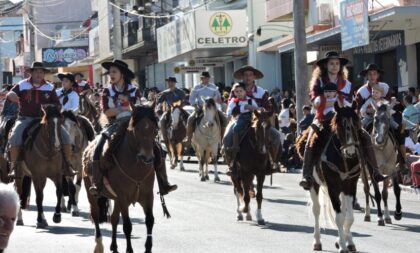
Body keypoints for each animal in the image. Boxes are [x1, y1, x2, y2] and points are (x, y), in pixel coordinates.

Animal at [83, 103, 162, 253]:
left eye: (155, 129)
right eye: (136, 129)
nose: (147, 157)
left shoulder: (147, 195)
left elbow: (150, 220)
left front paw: (148, 248)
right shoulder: (123, 197)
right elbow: (127, 225)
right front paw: (129, 250)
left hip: (116, 199)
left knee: (114, 218)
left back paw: (114, 246)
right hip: (91, 192)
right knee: (95, 214)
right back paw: (99, 245)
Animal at [296, 103, 360, 253]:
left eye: (356, 123)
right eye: (340, 127)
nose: (351, 152)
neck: (343, 159)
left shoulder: (350, 187)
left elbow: (349, 217)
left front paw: (345, 242)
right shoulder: (333, 187)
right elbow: (339, 218)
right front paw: (342, 246)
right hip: (314, 184)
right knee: (316, 210)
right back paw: (317, 242)